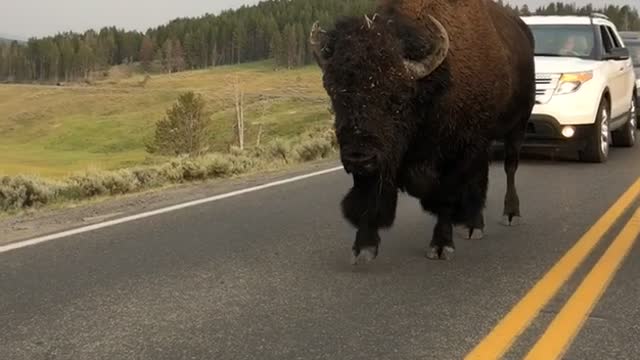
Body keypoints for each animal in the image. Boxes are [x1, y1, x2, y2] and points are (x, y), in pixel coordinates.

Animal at [308, 0, 536, 262]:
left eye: (398, 97)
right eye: (335, 93)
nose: (359, 157)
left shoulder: (452, 157)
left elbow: (445, 198)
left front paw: (441, 245)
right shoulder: (379, 161)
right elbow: (368, 197)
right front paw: (363, 248)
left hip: (517, 126)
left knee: (510, 167)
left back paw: (510, 214)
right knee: (481, 175)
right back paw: (473, 225)